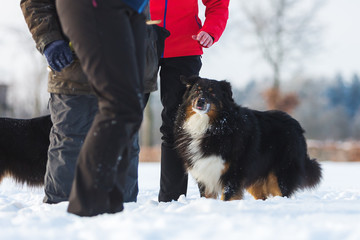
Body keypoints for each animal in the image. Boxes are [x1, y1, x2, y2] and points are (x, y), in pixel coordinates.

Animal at [174, 76, 320, 200]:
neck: (211, 126)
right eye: (196, 90)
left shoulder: (233, 173)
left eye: (213, 93)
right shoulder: (205, 176)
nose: (201, 101)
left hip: (280, 174)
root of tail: (297, 125)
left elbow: (227, 196)